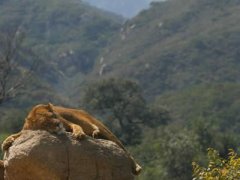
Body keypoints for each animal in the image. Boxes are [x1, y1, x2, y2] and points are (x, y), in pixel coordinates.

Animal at [1, 103, 141, 175]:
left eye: (53, 115)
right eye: (46, 122)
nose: (58, 124)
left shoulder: (67, 122)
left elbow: (76, 127)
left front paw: (79, 134)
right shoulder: (26, 130)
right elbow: (16, 134)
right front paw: (6, 142)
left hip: (92, 123)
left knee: (120, 145)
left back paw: (137, 167)